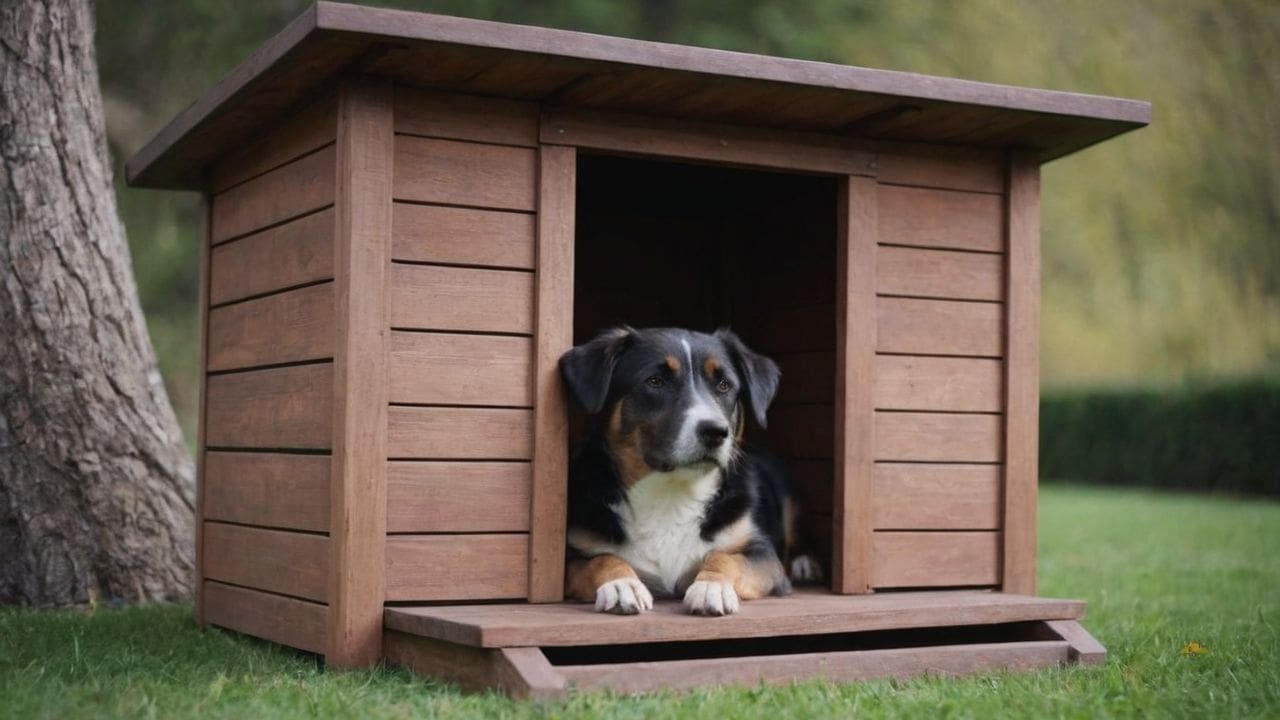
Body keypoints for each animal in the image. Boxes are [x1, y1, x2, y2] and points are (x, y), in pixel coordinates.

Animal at [558, 325, 819, 609]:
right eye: (655, 381)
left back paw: (806, 564)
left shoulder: (762, 555)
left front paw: (712, 586)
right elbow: (601, 559)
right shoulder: (572, 554)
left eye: (724, 385)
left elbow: (724, 557)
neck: (670, 496)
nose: (715, 432)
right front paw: (621, 584)